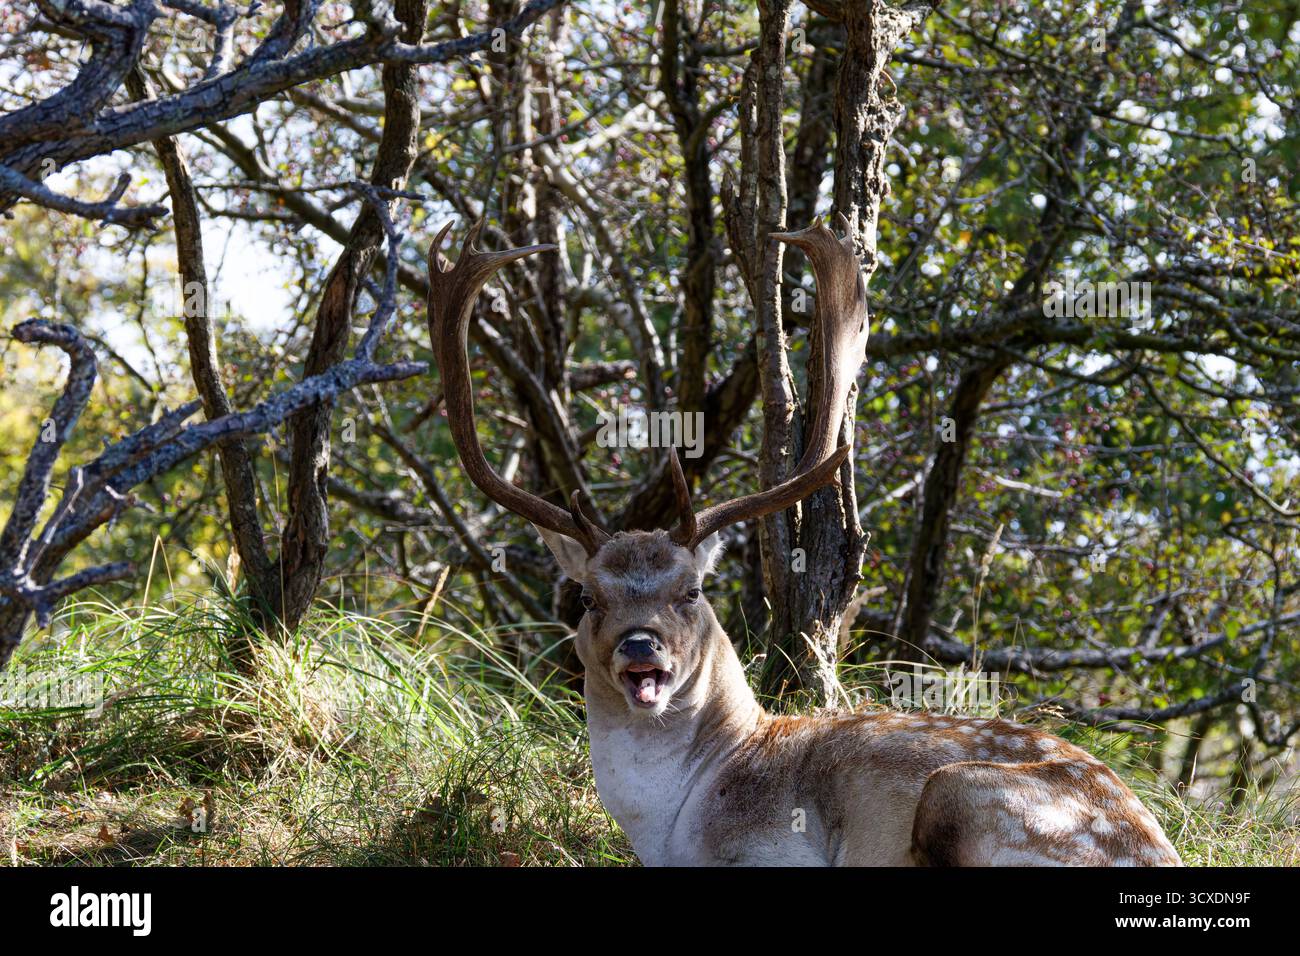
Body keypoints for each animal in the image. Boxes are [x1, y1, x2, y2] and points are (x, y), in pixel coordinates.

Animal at [426, 218, 1183, 867]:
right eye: (587, 598)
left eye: (691, 590)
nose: (640, 647)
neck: (677, 827)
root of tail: (1156, 849)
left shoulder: (782, 852)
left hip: (967, 792)